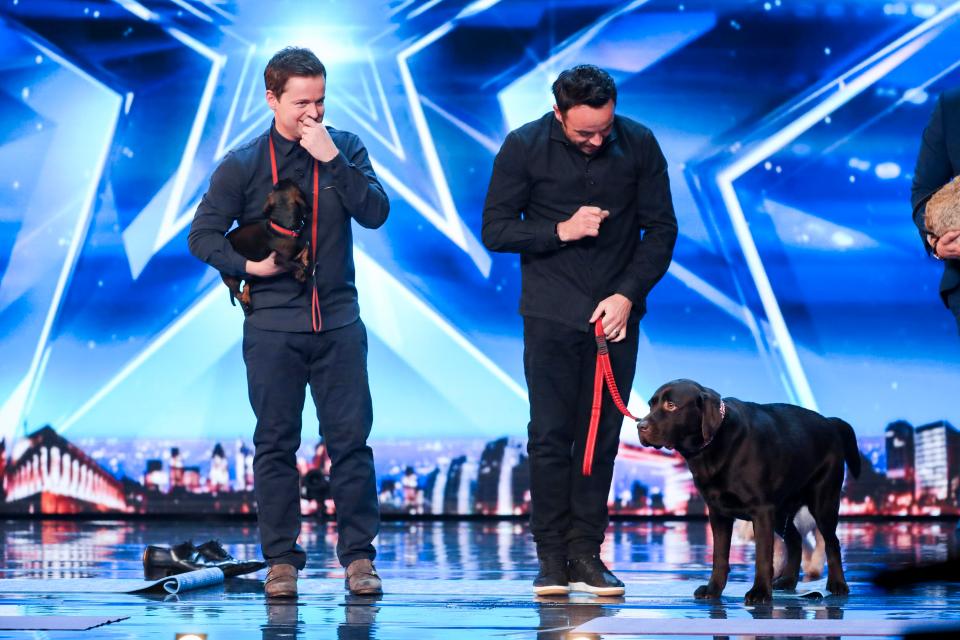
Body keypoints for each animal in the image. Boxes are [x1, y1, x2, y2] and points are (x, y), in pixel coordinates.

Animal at [220, 178, 308, 312]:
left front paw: (301, 269)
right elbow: (298, 265)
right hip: (231, 278)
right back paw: (245, 304)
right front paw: (301, 272)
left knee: (245, 286)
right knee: (237, 293)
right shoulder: (279, 259)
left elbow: (304, 254)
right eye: (295, 184)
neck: (283, 227)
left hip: (251, 275)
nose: (285, 178)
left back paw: (247, 298)